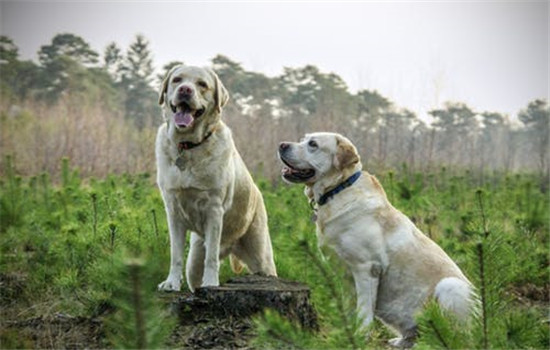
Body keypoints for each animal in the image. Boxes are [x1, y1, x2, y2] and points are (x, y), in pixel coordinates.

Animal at [155, 65, 276, 292]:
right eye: (177, 80)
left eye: (202, 84)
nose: (185, 90)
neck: (189, 146)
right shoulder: (173, 211)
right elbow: (175, 255)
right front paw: (171, 283)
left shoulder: (214, 209)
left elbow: (210, 258)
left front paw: (211, 284)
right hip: (194, 261)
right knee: (194, 274)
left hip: (262, 258)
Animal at [280, 132, 474, 348]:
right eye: (303, 139)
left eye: (313, 144)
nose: (282, 145)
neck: (339, 189)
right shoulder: (345, 275)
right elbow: (351, 308)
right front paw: (348, 333)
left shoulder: (367, 268)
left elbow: (364, 310)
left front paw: (360, 336)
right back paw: (404, 342)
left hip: (450, 286)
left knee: (459, 337)